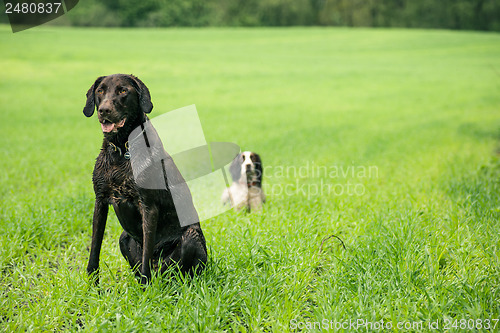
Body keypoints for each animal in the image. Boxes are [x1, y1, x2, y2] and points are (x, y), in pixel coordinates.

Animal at [83, 74, 207, 284]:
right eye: (100, 91)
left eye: (123, 90)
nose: (104, 110)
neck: (122, 149)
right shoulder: (100, 201)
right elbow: (94, 249)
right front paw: (92, 287)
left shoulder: (148, 207)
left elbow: (146, 256)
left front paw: (144, 288)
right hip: (124, 237)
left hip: (190, 237)